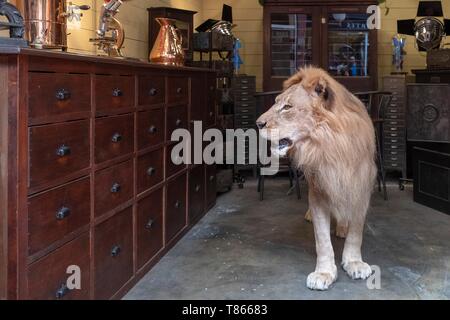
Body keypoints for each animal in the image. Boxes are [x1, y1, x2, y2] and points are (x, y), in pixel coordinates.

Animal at [256, 67, 376, 290]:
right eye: (276, 102)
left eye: (287, 107)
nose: (258, 123)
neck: (329, 144)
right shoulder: (319, 189)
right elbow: (322, 239)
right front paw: (324, 273)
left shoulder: (360, 186)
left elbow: (356, 231)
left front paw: (354, 262)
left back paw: (342, 227)